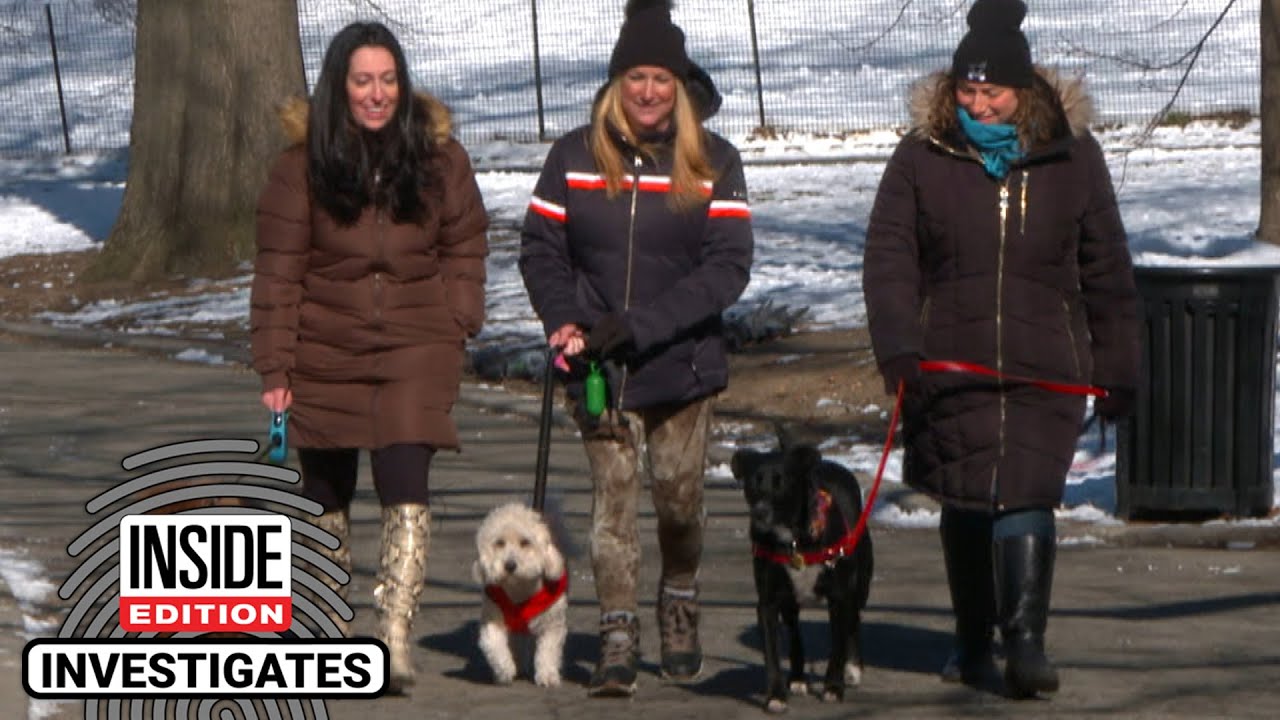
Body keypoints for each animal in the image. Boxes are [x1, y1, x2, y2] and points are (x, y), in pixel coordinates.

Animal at [473, 499, 568, 681]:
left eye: (525, 542)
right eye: (499, 543)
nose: (510, 565)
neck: (519, 589)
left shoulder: (552, 624)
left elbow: (548, 650)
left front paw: (547, 675)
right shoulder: (492, 618)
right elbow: (493, 642)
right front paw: (505, 669)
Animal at [737, 443, 875, 712]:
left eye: (781, 482)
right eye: (752, 484)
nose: (759, 513)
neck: (793, 541)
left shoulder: (839, 597)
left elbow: (838, 646)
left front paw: (834, 687)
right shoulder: (768, 602)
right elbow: (772, 653)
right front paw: (776, 696)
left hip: (860, 585)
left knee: (854, 620)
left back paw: (854, 667)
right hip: (790, 601)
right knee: (794, 633)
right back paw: (799, 678)